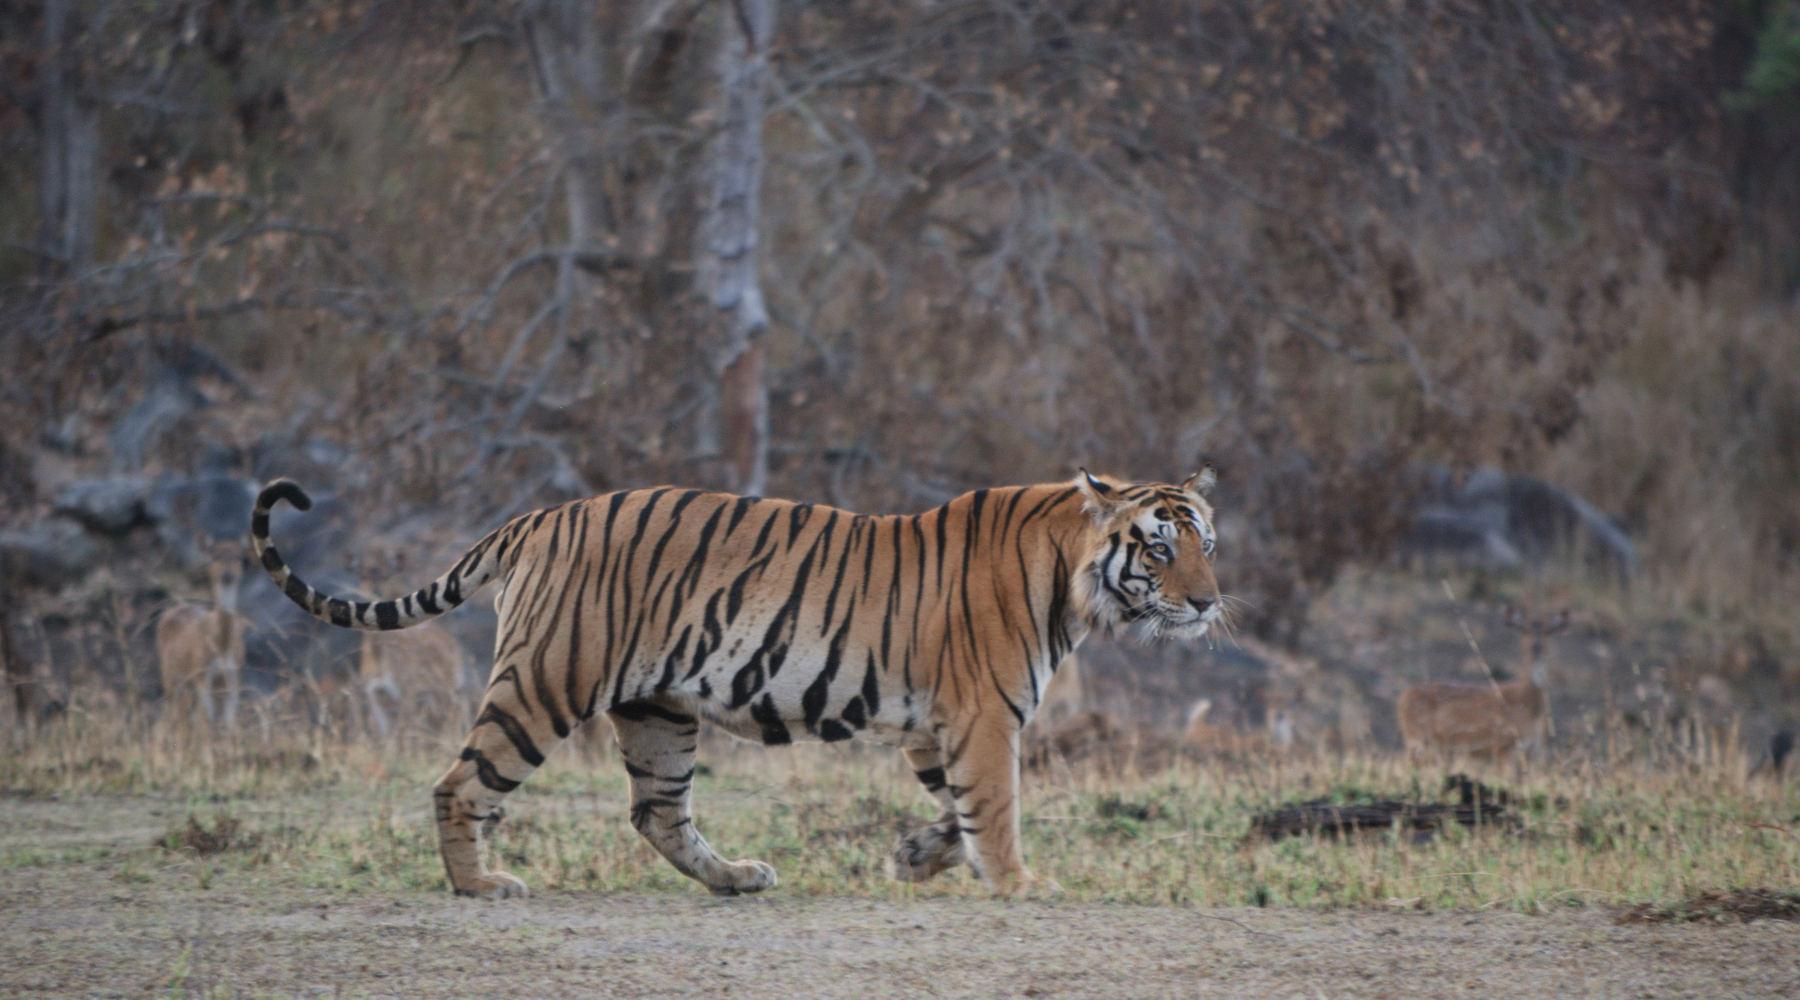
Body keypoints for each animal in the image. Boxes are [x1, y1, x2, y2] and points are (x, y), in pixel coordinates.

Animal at [250, 467, 1224, 899]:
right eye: (1158, 550)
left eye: (1207, 542)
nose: (1210, 602)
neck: (1073, 577)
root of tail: (539, 516)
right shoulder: (982, 717)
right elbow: (998, 804)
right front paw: (1020, 881)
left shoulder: (931, 724)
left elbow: (958, 808)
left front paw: (918, 857)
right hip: (546, 683)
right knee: (460, 784)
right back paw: (480, 886)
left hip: (657, 711)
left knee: (656, 812)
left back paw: (735, 878)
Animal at [1389, 607, 1562, 758]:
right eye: (1524, 630)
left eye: (1549, 631)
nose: (1536, 647)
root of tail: (1401, 699)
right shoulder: (1502, 744)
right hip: (1418, 740)